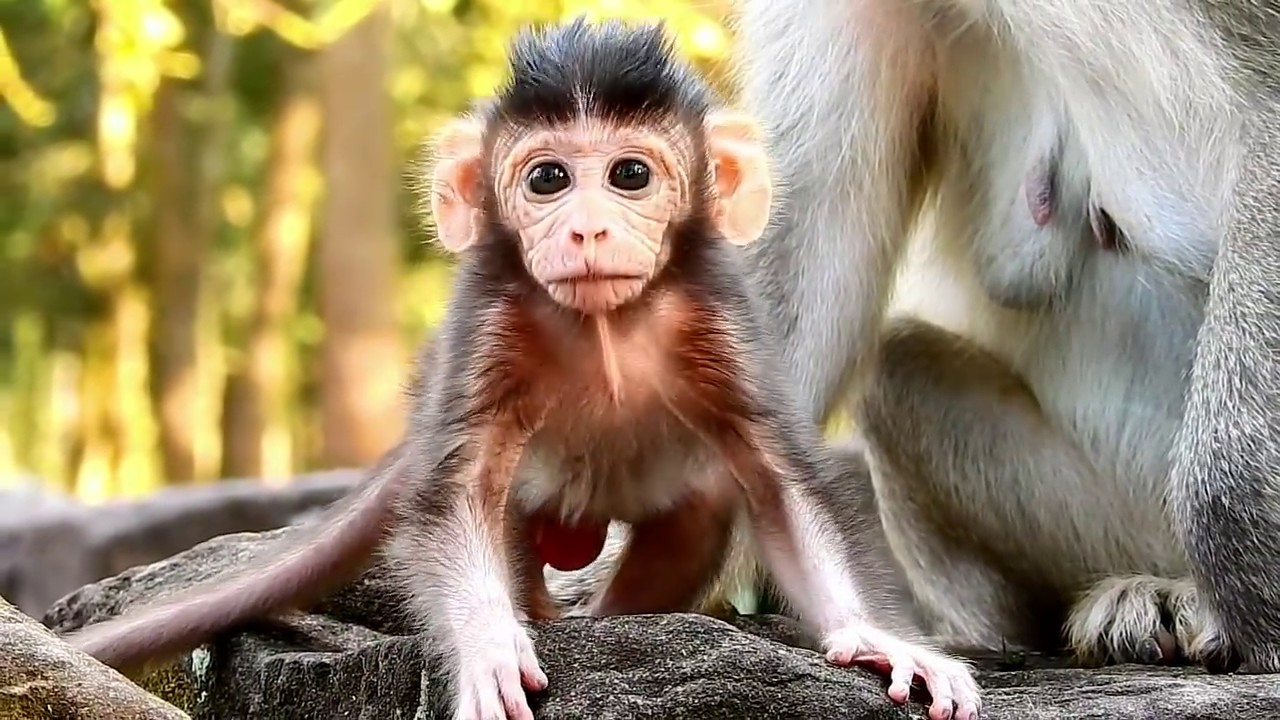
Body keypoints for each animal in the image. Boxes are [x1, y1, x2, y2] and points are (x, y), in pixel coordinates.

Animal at [60, 19, 979, 720]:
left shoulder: (722, 318)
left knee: (700, 504)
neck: (605, 323)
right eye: (547, 179)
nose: (585, 229)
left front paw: (876, 637)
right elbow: (462, 489)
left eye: (630, 174)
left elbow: (776, 479)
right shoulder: (488, 319)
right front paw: (491, 648)